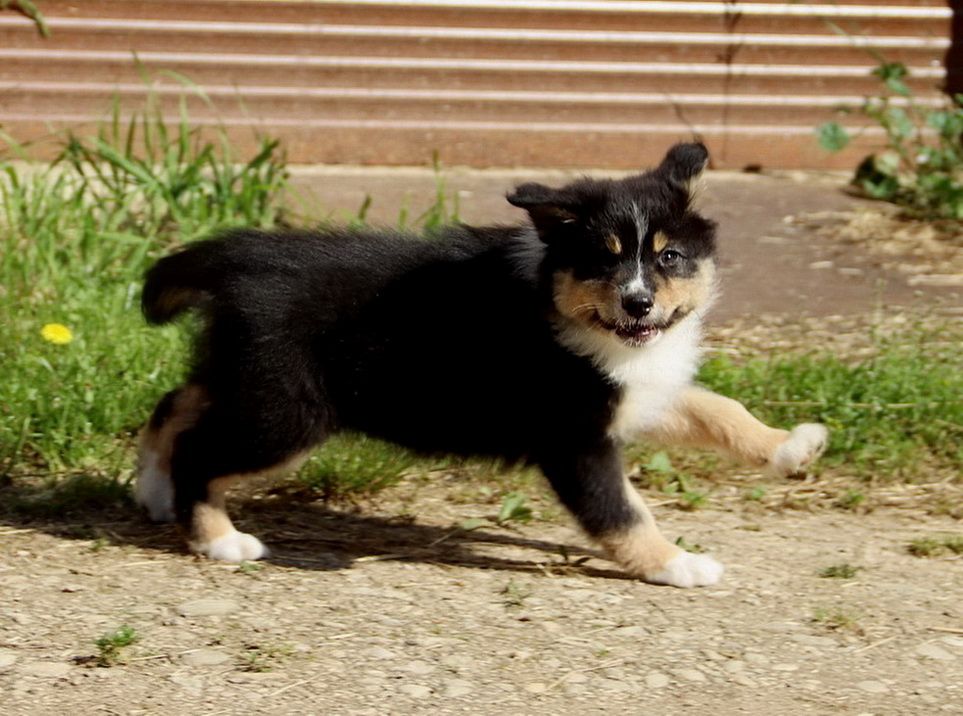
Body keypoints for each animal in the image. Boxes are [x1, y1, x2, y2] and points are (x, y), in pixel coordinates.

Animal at [135, 142, 827, 588]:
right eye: (601, 260)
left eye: (670, 256)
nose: (638, 303)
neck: (566, 312)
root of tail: (241, 258)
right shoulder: (574, 437)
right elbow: (622, 510)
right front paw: (676, 563)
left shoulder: (634, 391)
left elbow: (717, 408)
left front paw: (789, 446)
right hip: (287, 412)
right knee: (200, 446)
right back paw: (218, 538)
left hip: (249, 380)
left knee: (177, 402)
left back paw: (153, 490)